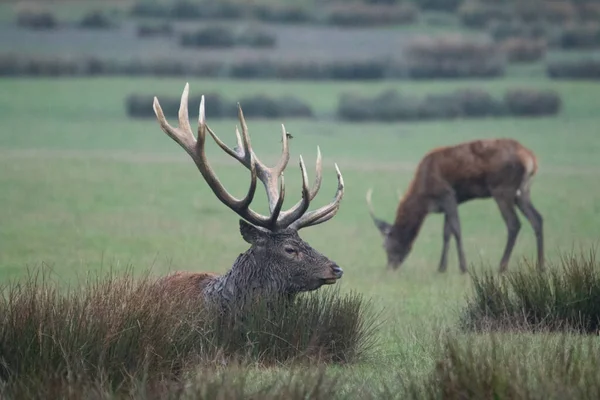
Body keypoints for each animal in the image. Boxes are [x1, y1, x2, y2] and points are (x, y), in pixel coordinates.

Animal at [366, 139, 544, 274]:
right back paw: (541, 265)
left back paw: (502, 266)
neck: (424, 196)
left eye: (385, 245)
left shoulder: (448, 195)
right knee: (537, 218)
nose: (389, 267)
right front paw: (441, 268)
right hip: (523, 191)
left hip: (502, 189)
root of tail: (531, 159)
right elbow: (446, 233)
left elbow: (456, 230)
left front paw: (463, 268)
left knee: (514, 223)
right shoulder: (448, 203)